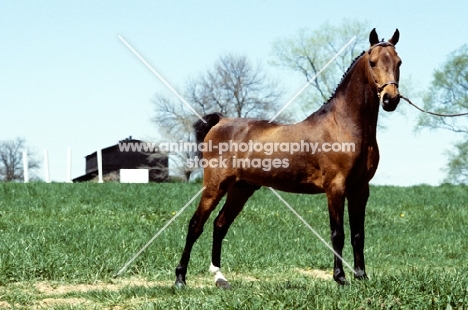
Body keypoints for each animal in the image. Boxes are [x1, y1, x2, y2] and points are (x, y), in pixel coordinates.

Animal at [174, 29, 400, 288]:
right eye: (373, 62)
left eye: (398, 62)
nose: (391, 99)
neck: (344, 125)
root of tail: (221, 121)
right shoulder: (336, 188)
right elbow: (338, 234)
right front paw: (340, 278)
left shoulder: (360, 190)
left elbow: (358, 234)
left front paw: (361, 276)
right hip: (215, 186)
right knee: (195, 225)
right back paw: (180, 278)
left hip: (241, 189)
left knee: (220, 225)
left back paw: (220, 277)